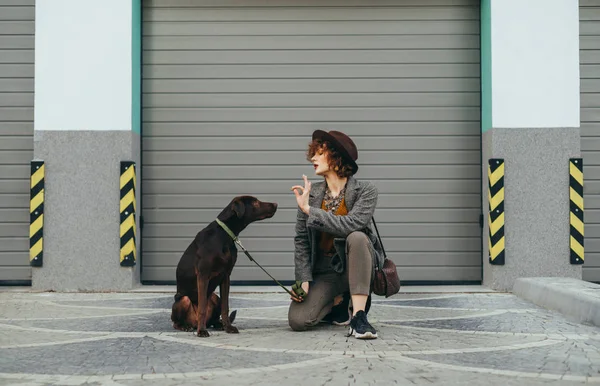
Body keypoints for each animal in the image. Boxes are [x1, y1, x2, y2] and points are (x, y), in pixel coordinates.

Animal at [170, 196, 278, 338]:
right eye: (255, 202)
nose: (276, 204)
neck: (224, 234)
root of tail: (193, 322)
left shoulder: (226, 275)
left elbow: (225, 307)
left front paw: (228, 327)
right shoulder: (203, 274)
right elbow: (202, 308)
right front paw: (202, 331)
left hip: (215, 297)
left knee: (214, 318)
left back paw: (219, 324)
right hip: (183, 299)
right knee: (176, 321)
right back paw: (186, 326)